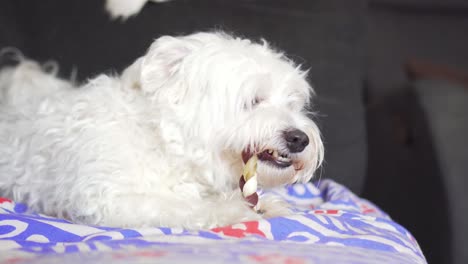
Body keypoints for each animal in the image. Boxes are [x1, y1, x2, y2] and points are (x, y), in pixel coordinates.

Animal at [0, 32, 322, 229]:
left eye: (293, 104)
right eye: (254, 100)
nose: (299, 139)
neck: (166, 144)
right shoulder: (111, 198)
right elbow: (184, 206)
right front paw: (232, 209)